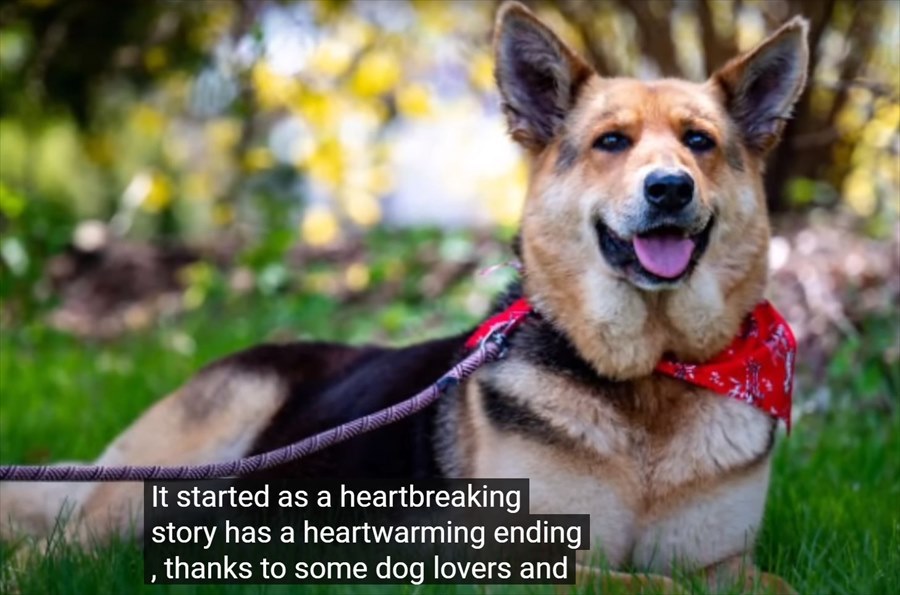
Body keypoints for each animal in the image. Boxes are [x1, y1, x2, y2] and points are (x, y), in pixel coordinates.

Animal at [1, 3, 808, 592]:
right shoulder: (533, 560)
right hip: (161, 476)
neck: (651, 376)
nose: (669, 188)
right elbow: (651, 584)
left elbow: (774, 584)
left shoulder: (726, 561)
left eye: (699, 142)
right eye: (612, 142)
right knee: (55, 549)